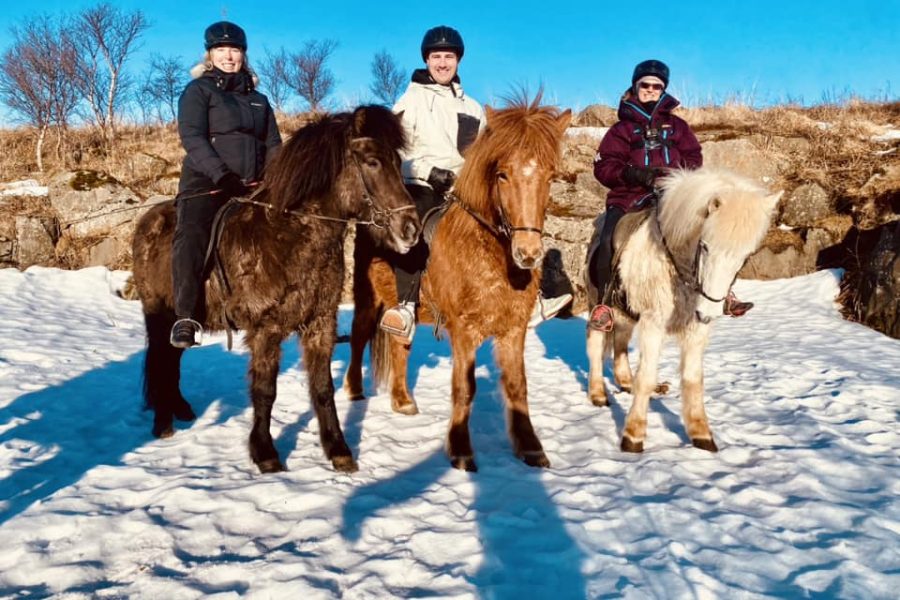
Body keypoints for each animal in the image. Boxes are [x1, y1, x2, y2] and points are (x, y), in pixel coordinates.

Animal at [132, 105, 421, 474]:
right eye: (372, 161)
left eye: (397, 162)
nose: (410, 229)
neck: (289, 235)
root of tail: (147, 222)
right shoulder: (266, 329)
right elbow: (265, 390)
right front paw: (265, 453)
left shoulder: (320, 323)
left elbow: (323, 388)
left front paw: (338, 450)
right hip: (160, 316)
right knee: (160, 361)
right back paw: (163, 423)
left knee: (171, 361)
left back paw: (180, 410)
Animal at [345, 97, 572, 472]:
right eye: (502, 174)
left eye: (550, 176)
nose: (527, 253)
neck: (490, 255)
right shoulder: (463, 331)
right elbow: (464, 388)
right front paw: (461, 450)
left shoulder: (513, 330)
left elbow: (517, 386)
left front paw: (530, 448)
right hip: (367, 299)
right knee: (358, 337)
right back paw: (353, 391)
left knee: (399, 345)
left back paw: (402, 400)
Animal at [585, 167, 781, 453]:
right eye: (706, 245)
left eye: (746, 255)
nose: (710, 310)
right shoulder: (653, 323)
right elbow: (646, 376)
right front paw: (633, 436)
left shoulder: (696, 327)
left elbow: (693, 378)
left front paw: (701, 434)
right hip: (598, 304)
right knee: (596, 344)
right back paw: (598, 393)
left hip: (626, 311)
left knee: (620, 342)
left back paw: (625, 382)